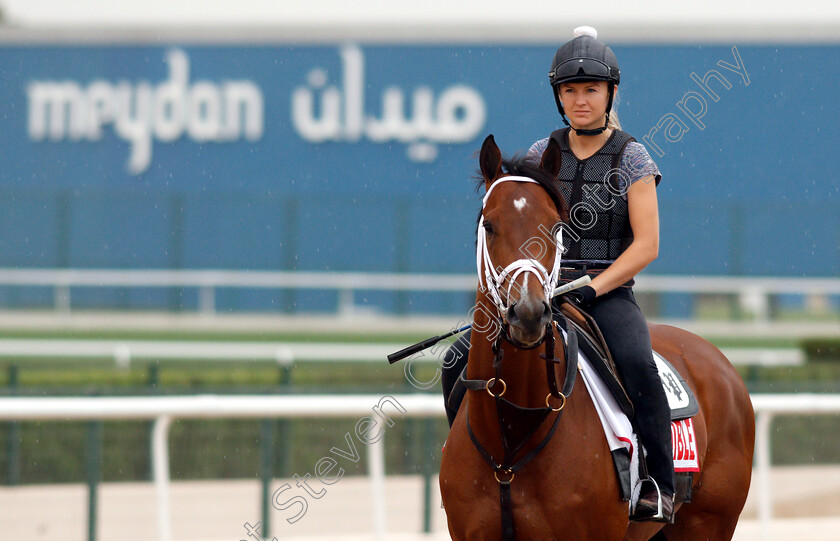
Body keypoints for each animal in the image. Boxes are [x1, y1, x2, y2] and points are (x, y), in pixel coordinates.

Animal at [440, 135, 756, 540]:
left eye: (556, 226)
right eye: (490, 225)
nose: (528, 313)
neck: (513, 431)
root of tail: (720, 362)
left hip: (708, 523)